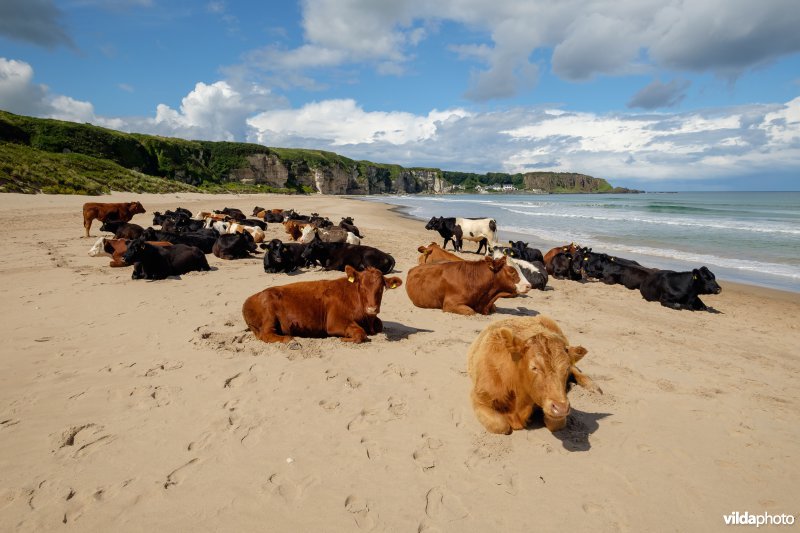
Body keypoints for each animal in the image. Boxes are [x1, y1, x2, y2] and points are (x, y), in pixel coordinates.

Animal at [242, 266, 403, 343]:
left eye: (381, 288)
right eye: (362, 287)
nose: (372, 309)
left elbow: (380, 324)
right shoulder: (335, 322)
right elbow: (360, 333)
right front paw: (345, 339)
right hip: (269, 314)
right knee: (266, 334)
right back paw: (290, 340)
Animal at [467, 315, 601, 434]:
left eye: (566, 368)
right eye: (534, 367)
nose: (561, 408)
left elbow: (556, 423)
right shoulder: (479, 398)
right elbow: (501, 425)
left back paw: (593, 386)